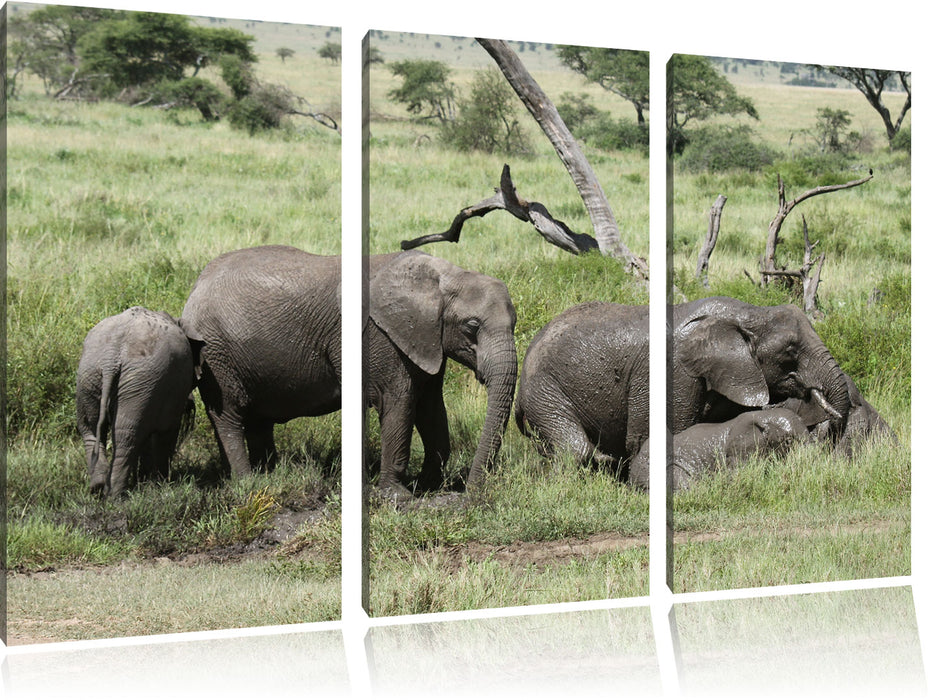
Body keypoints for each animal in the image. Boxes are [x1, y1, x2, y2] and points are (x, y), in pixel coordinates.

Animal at [77, 306, 199, 498]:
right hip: (140, 379)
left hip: (91, 375)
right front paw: (160, 483)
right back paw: (116, 496)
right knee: (126, 436)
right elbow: (167, 431)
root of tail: (111, 357)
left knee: (91, 428)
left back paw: (97, 488)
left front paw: (145, 482)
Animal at [368, 249, 520, 500]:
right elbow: (399, 402)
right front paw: (399, 496)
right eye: (471, 326)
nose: (469, 492)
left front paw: (427, 486)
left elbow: (430, 407)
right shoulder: (387, 339)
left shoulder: (426, 340)